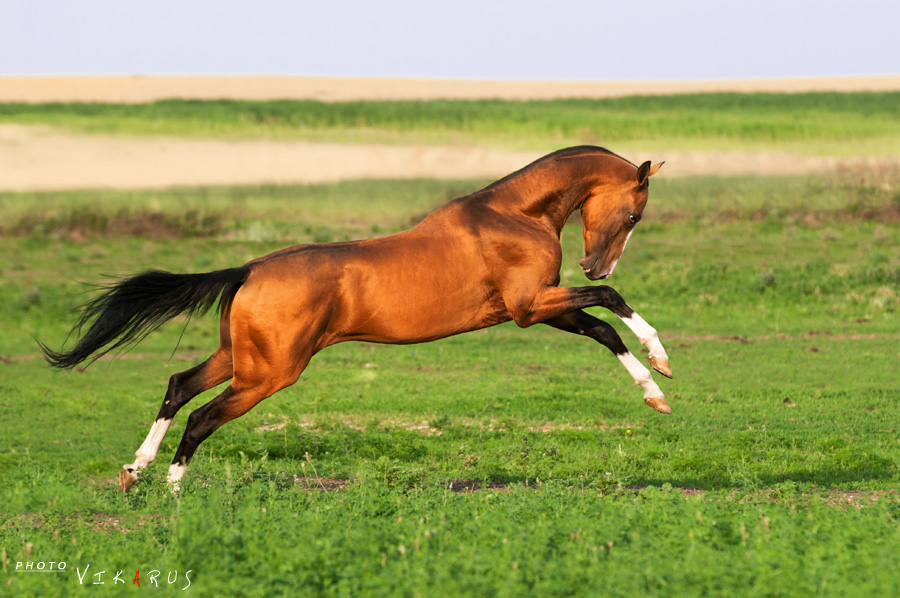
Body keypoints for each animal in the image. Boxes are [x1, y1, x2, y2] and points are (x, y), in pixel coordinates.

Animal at [44, 146, 676, 492]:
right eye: (635, 213)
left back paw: (135, 471)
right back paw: (174, 492)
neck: (513, 215)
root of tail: (248, 268)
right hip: (268, 373)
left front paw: (656, 392)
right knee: (202, 417)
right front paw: (663, 358)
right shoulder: (530, 307)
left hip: (239, 358)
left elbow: (602, 328)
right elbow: (612, 303)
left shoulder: (534, 309)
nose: (594, 264)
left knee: (178, 387)